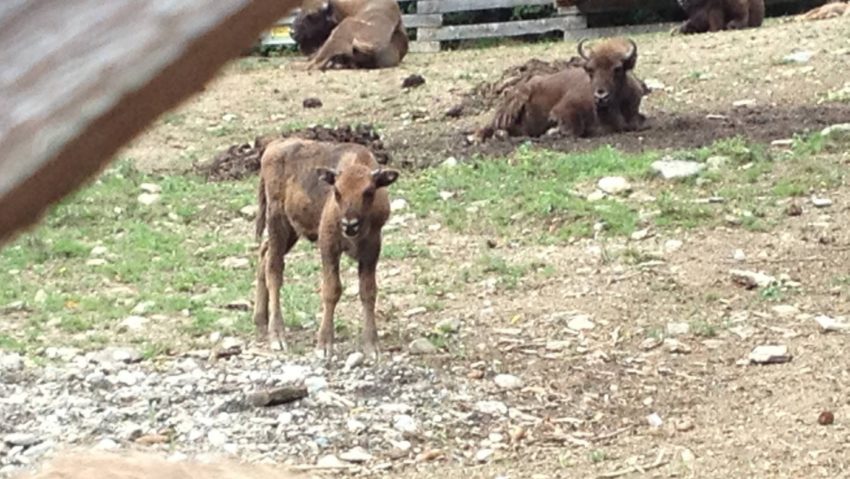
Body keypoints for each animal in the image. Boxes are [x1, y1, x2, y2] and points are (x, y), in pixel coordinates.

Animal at [253, 137, 400, 358]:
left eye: (369, 191)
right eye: (337, 192)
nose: (349, 224)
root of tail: (273, 145)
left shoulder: (372, 249)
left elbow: (368, 291)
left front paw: (371, 345)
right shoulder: (328, 245)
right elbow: (332, 290)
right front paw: (324, 345)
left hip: (292, 230)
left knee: (264, 253)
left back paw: (260, 320)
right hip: (277, 220)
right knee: (274, 270)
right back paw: (277, 336)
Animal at [476, 37, 648, 141]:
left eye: (617, 69)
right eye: (590, 70)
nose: (601, 96)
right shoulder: (562, 110)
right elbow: (574, 129)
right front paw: (552, 132)